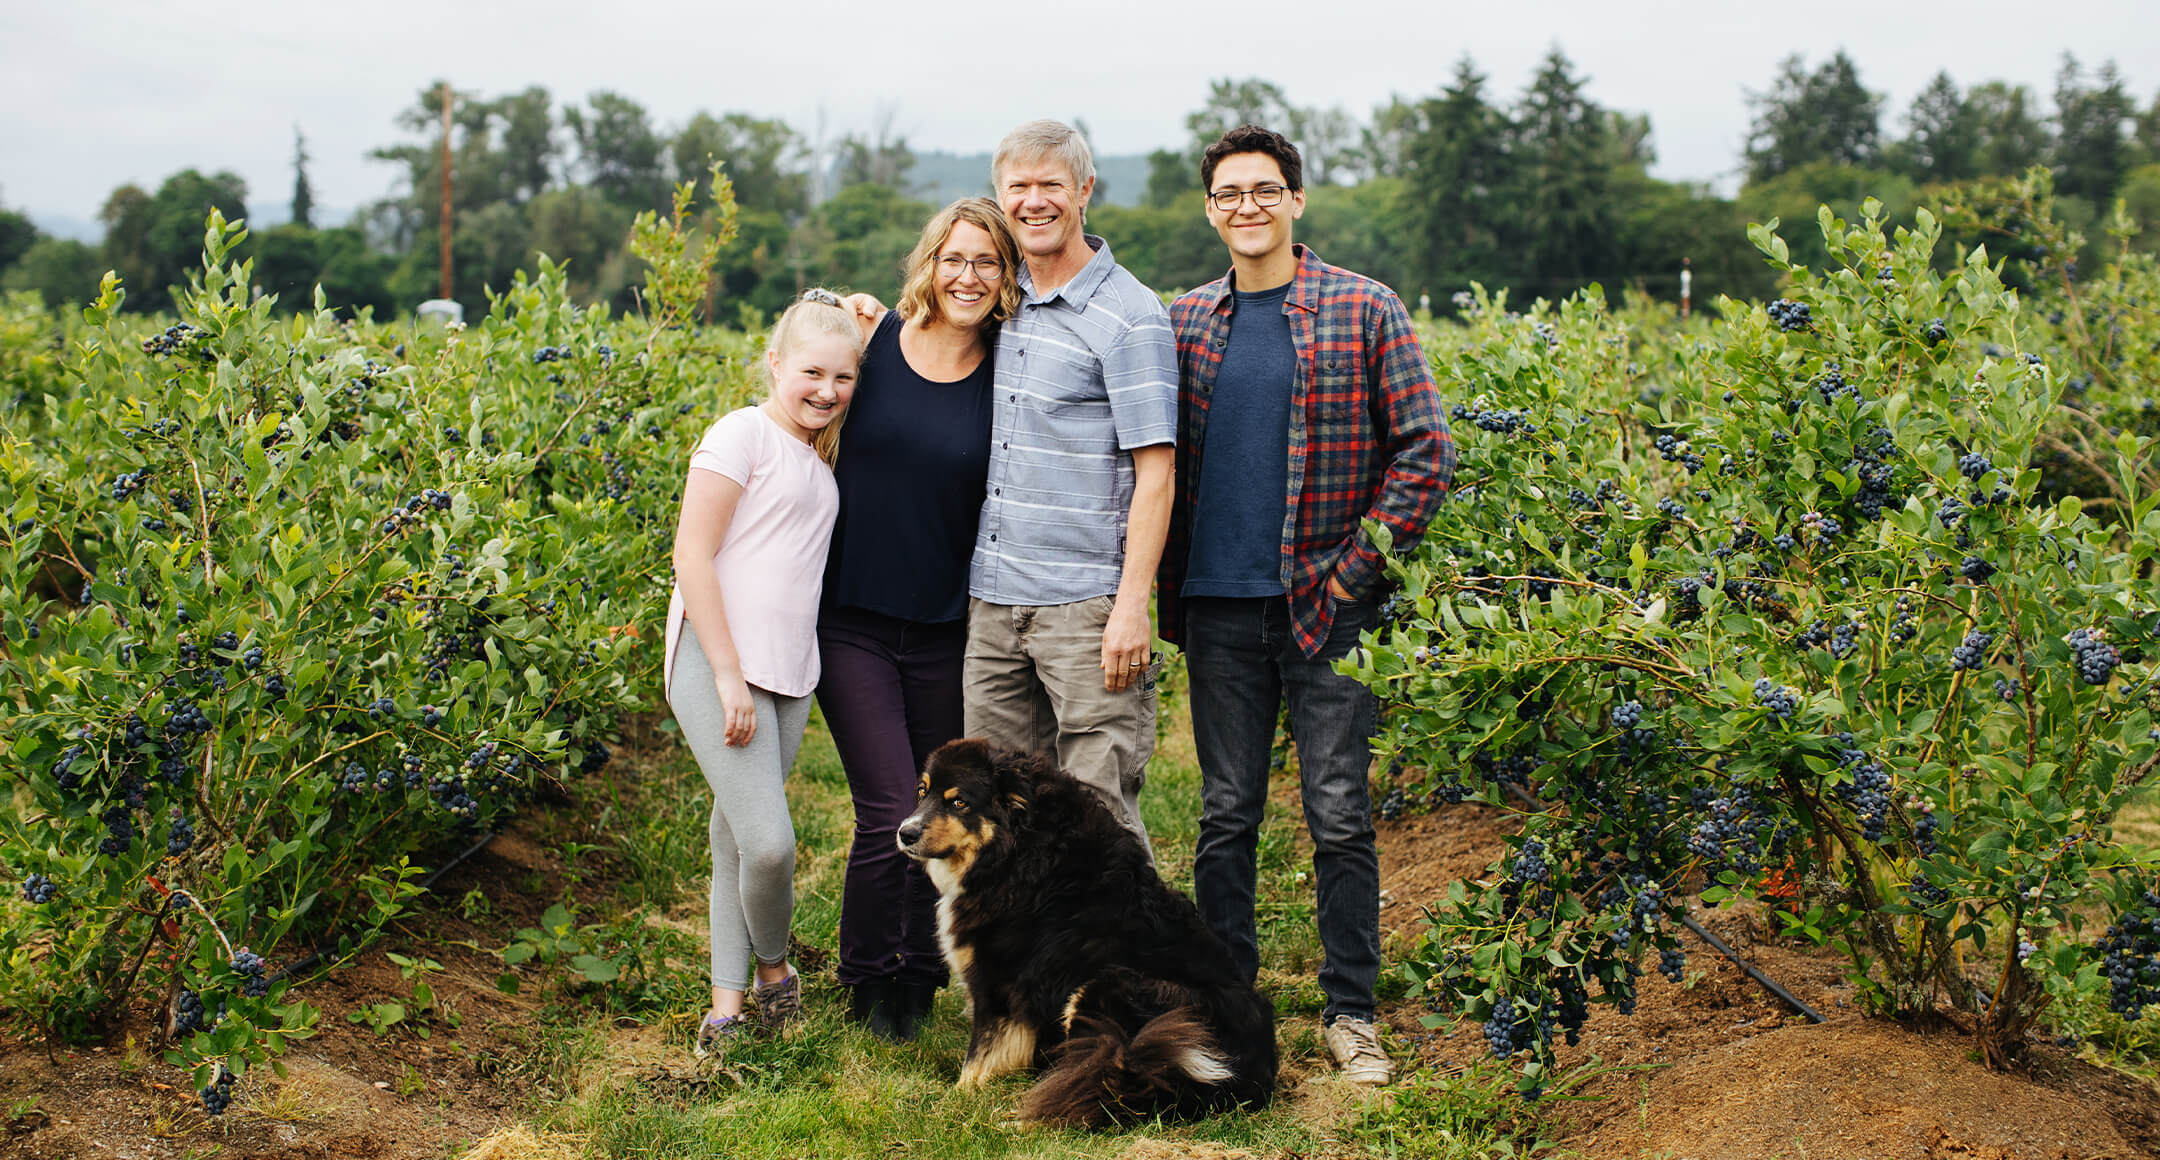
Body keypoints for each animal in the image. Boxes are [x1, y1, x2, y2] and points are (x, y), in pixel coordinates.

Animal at [898, 738, 1278, 1123]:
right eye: (923, 792)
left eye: (959, 802)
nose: (905, 833)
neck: (1020, 853)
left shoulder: (999, 985)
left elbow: (980, 1056)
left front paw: (956, 1101)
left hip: (1103, 989)